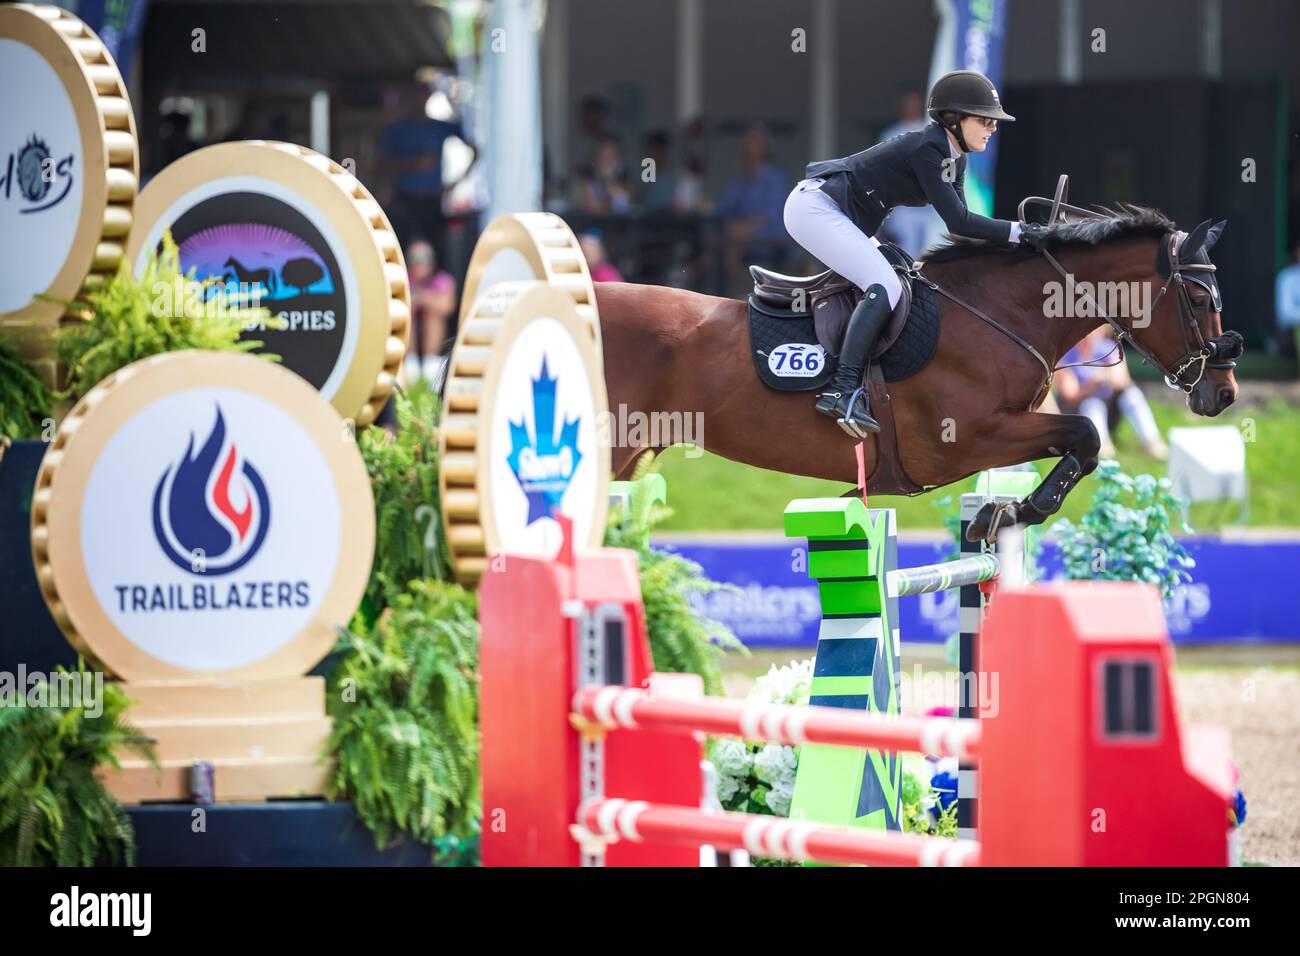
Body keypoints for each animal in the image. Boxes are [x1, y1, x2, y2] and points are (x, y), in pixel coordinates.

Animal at [595, 206, 1242, 541]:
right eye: (1198, 296)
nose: (1224, 392)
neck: (996, 310)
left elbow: (1080, 444)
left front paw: (1005, 512)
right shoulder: (965, 440)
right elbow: (1084, 434)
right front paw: (1015, 511)